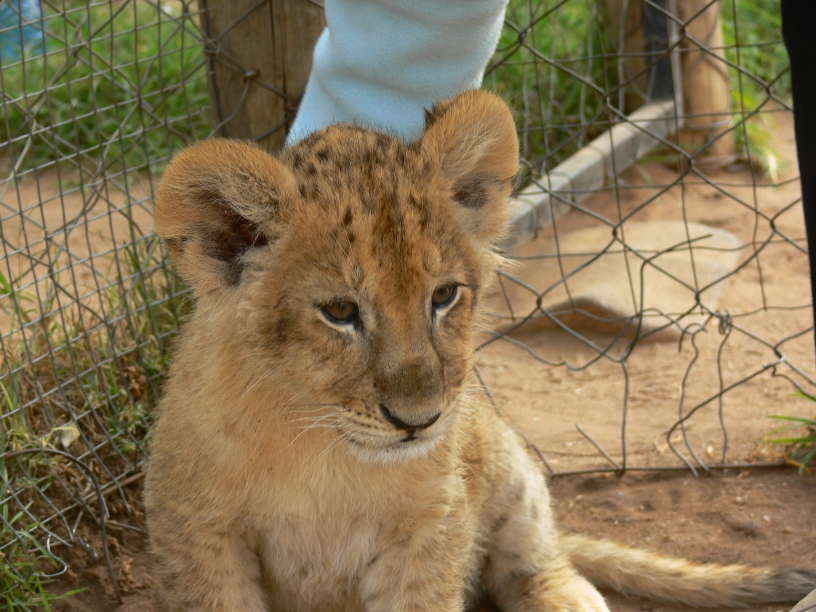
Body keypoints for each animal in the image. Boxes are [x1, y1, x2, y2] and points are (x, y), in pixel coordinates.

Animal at [145, 90, 816, 612]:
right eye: (339, 312)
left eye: (443, 296)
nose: (419, 422)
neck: (322, 447)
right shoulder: (200, 536)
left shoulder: (428, 531)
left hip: (506, 466)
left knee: (543, 562)